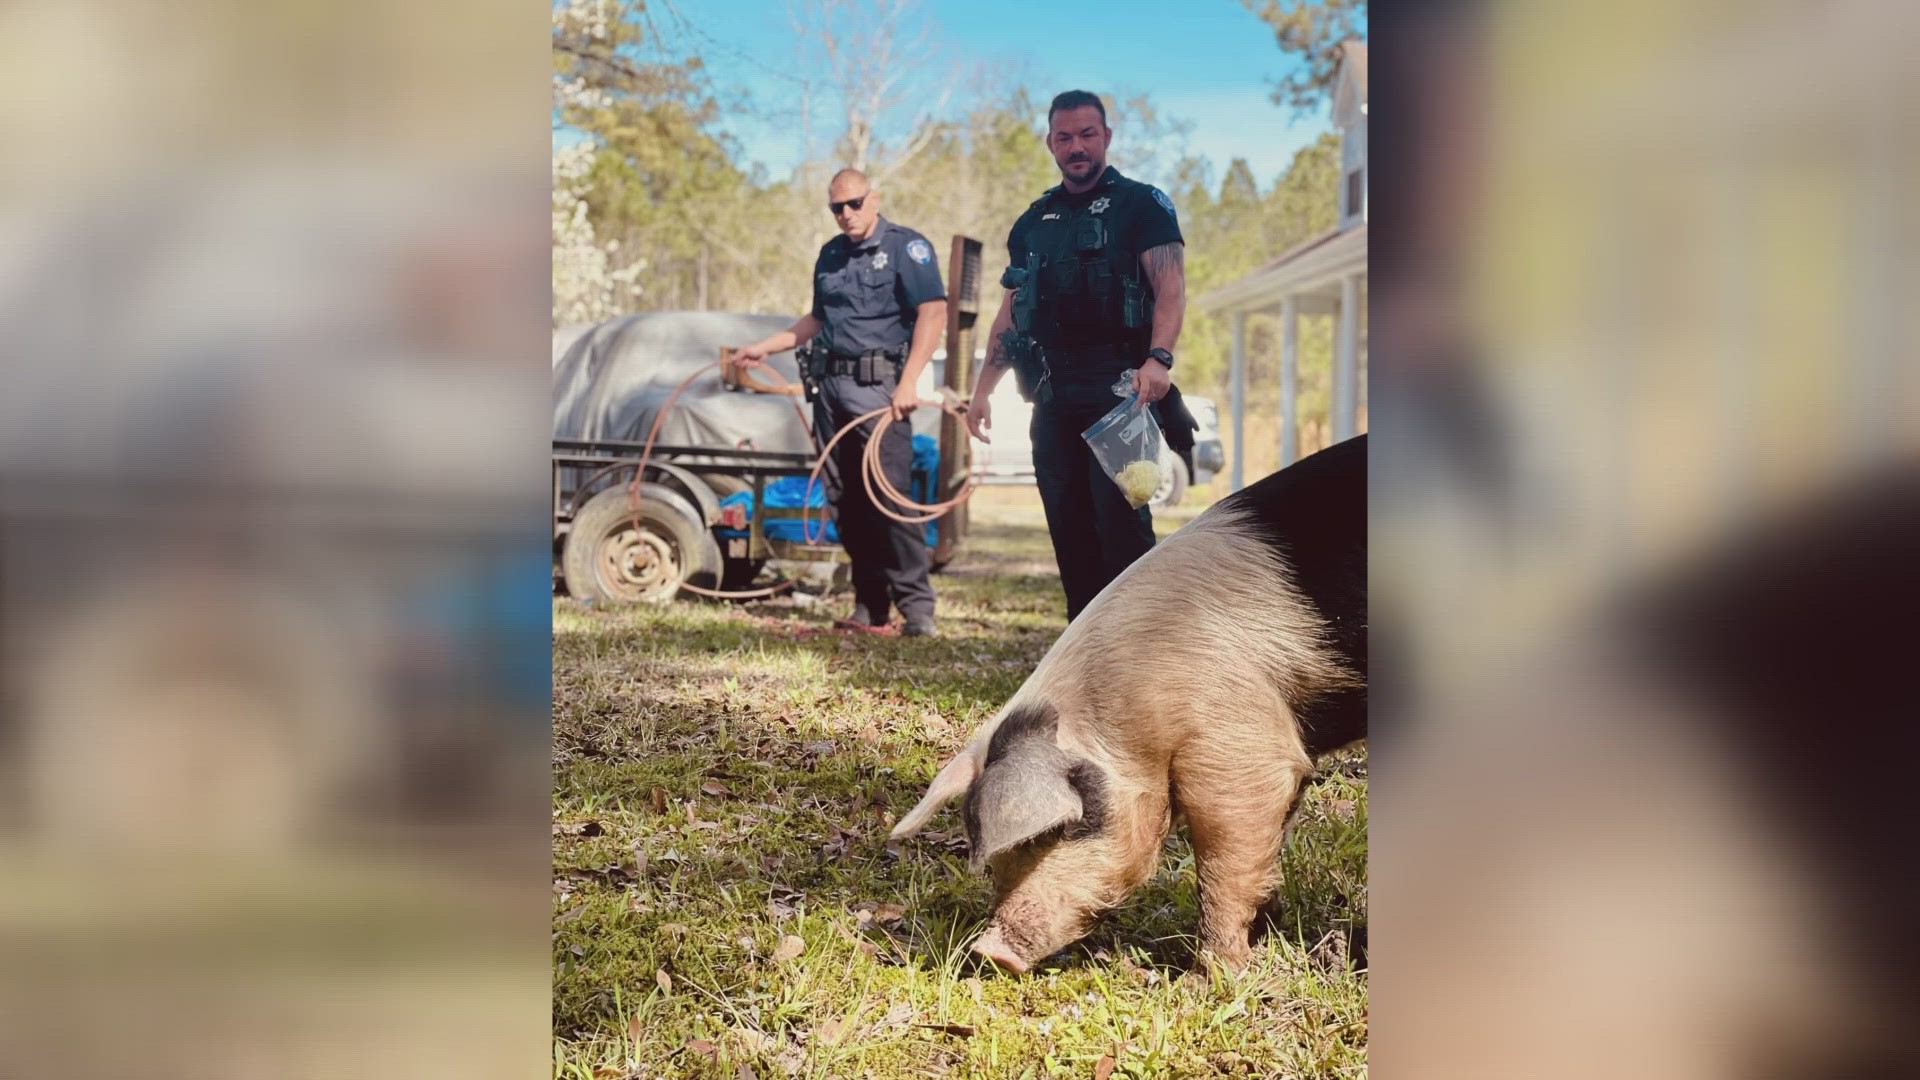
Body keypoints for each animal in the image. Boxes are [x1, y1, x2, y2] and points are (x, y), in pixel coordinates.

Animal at [887, 432, 1367, 972]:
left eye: (1059, 830)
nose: (991, 953)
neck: (1125, 709)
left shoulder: (1236, 741)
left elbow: (1225, 853)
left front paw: (1212, 973)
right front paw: (1264, 931)